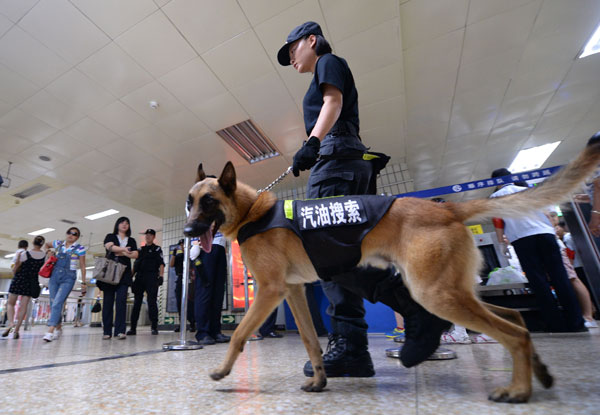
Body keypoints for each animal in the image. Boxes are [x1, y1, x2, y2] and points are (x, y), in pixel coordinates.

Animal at [182, 138, 600, 404]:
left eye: (209, 202)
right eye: (188, 202)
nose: (186, 234)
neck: (252, 212)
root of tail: (447, 208)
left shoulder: (269, 292)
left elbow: (239, 335)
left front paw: (222, 371)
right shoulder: (294, 292)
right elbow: (311, 341)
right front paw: (319, 379)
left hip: (436, 293)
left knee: (514, 333)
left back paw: (518, 390)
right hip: (451, 291)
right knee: (515, 316)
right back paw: (538, 372)